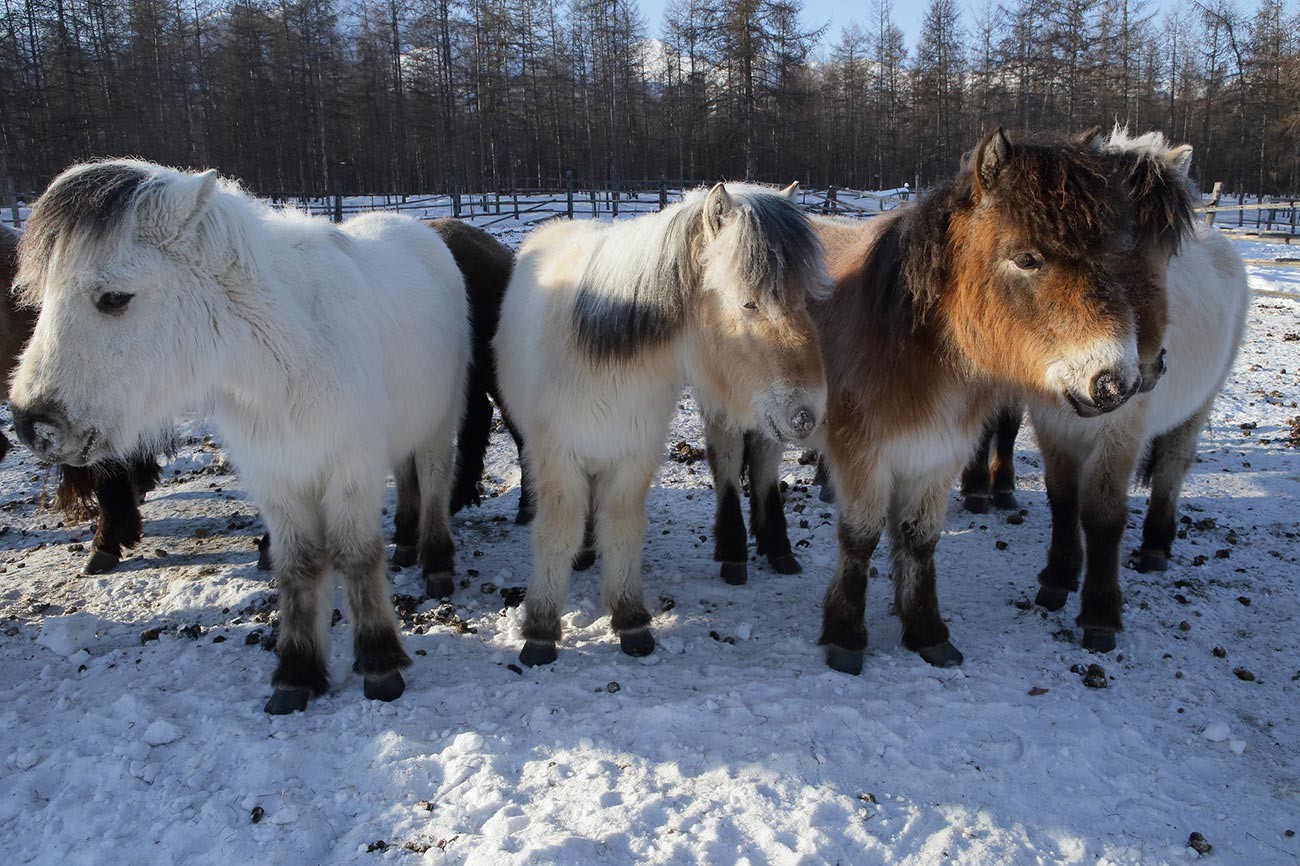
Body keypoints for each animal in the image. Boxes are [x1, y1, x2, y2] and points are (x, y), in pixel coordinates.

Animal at [10, 158, 470, 712]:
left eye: (114, 299)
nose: (31, 422)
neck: (288, 355)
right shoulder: (276, 478)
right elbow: (299, 565)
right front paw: (297, 672)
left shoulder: (349, 470)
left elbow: (357, 556)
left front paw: (380, 663)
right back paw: (404, 543)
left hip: (439, 423)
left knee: (435, 482)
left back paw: (435, 562)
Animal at [491, 185, 826, 663]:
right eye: (749, 301)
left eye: (805, 300)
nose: (805, 415)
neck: (604, 363)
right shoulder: (558, 460)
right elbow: (555, 533)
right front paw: (541, 628)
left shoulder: (633, 459)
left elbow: (623, 531)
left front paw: (630, 618)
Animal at [811, 128, 1159, 670]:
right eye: (1027, 258)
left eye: (1112, 257)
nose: (1115, 383)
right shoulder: (865, 455)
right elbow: (861, 537)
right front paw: (846, 636)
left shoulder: (936, 454)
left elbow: (918, 538)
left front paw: (925, 630)